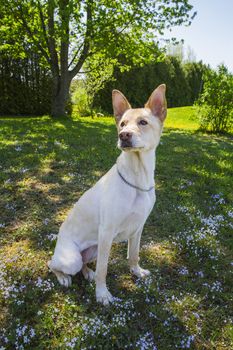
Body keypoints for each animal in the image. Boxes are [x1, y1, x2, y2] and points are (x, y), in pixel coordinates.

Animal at [48, 84, 167, 304]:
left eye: (143, 122)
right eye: (122, 124)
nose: (124, 135)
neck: (137, 178)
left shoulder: (138, 228)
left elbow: (134, 254)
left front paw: (136, 271)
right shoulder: (106, 232)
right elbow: (103, 269)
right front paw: (102, 294)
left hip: (93, 250)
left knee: (84, 264)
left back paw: (88, 273)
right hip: (72, 258)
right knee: (53, 264)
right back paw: (64, 278)